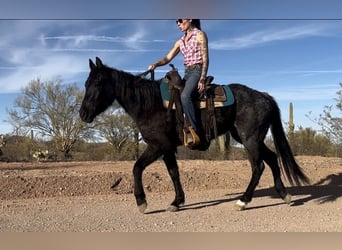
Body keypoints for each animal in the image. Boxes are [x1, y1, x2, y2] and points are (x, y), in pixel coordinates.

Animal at [79, 57, 308, 213]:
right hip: (250, 138)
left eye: (97, 83)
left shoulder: (157, 145)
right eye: (85, 84)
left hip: (250, 139)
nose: (83, 114)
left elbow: (137, 168)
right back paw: (284, 194)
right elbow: (173, 173)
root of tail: (264, 96)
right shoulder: (167, 148)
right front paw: (177, 201)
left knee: (258, 166)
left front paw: (142, 201)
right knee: (272, 159)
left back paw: (243, 200)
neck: (150, 104)